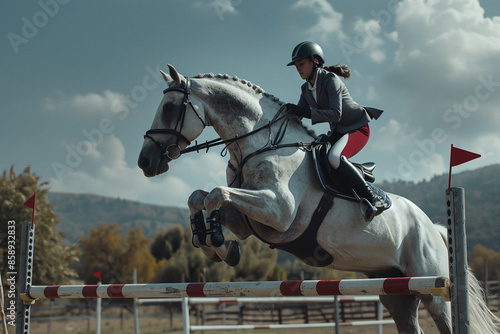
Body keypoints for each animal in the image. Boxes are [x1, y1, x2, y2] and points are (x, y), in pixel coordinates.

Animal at [138, 65, 500, 334]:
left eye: (169, 108)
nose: (145, 162)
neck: (259, 144)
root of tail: (434, 227)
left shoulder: (278, 212)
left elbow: (216, 194)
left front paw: (214, 239)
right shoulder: (249, 221)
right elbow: (199, 197)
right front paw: (215, 244)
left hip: (435, 290)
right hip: (396, 290)